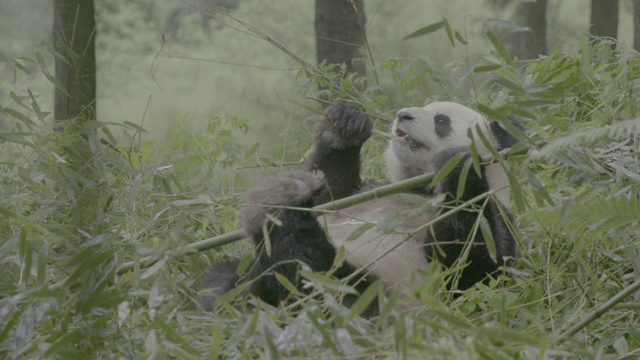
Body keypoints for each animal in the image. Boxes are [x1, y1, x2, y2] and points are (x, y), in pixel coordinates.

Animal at [200, 100, 520, 310]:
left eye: (442, 120)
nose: (402, 115)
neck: (418, 187)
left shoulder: (498, 214)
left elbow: (472, 270)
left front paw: (457, 168)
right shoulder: (368, 191)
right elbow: (330, 193)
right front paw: (343, 127)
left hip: (364, 288)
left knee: (310, 274)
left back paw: (279, 213)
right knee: (226, 277)